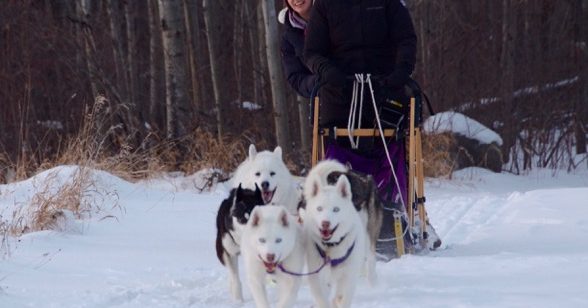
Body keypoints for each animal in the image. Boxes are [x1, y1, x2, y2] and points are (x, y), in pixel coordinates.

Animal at [298, 162, 368, 306]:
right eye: (319, 208)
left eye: (336, 209)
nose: (325, 223)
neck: (331, 247)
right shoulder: (317, 277)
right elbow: (322, 299)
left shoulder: (348, 277)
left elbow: (341, 297)